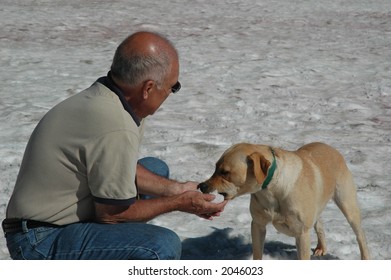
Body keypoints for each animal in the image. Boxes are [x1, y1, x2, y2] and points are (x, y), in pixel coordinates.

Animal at [199, 143, 370, 260]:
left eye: (225, 172)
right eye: (215, 167)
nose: (201, 186)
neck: (271, 188)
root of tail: (331, 148)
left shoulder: (302, 233)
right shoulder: (258, 224)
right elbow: (257, 253)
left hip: (348, 204)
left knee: (360, 234)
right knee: (319, 224)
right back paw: (321, 247)